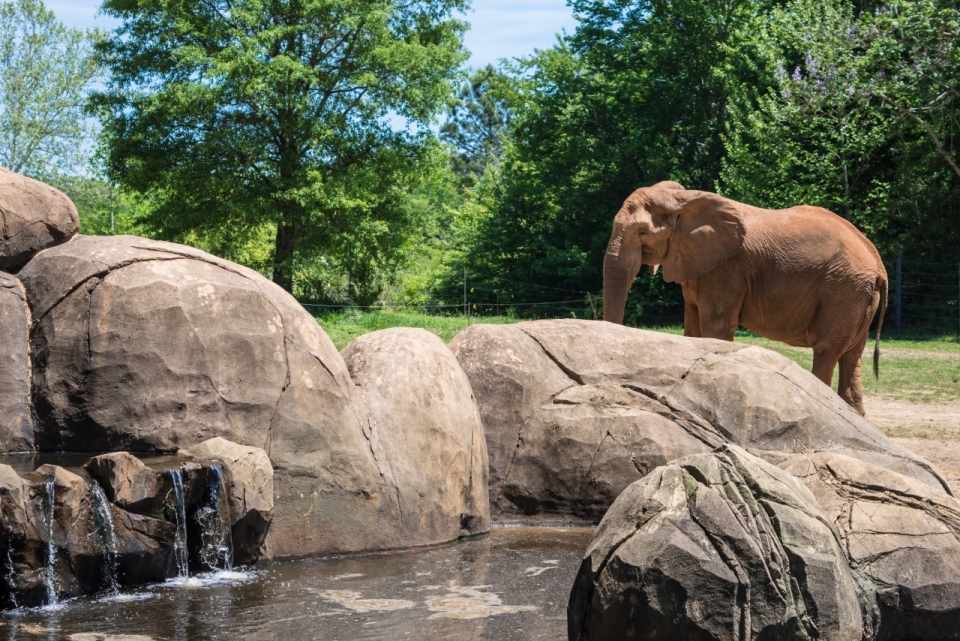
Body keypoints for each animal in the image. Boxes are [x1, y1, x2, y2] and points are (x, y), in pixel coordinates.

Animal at [604, 179, 888, 416]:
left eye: (642, 232)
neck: (684, 200)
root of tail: (878, 265)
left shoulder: (727, 268)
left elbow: (715, 326)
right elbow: (693, 330)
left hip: (843, 290)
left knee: (826, 350)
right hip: (858, 294)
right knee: (852, 355)